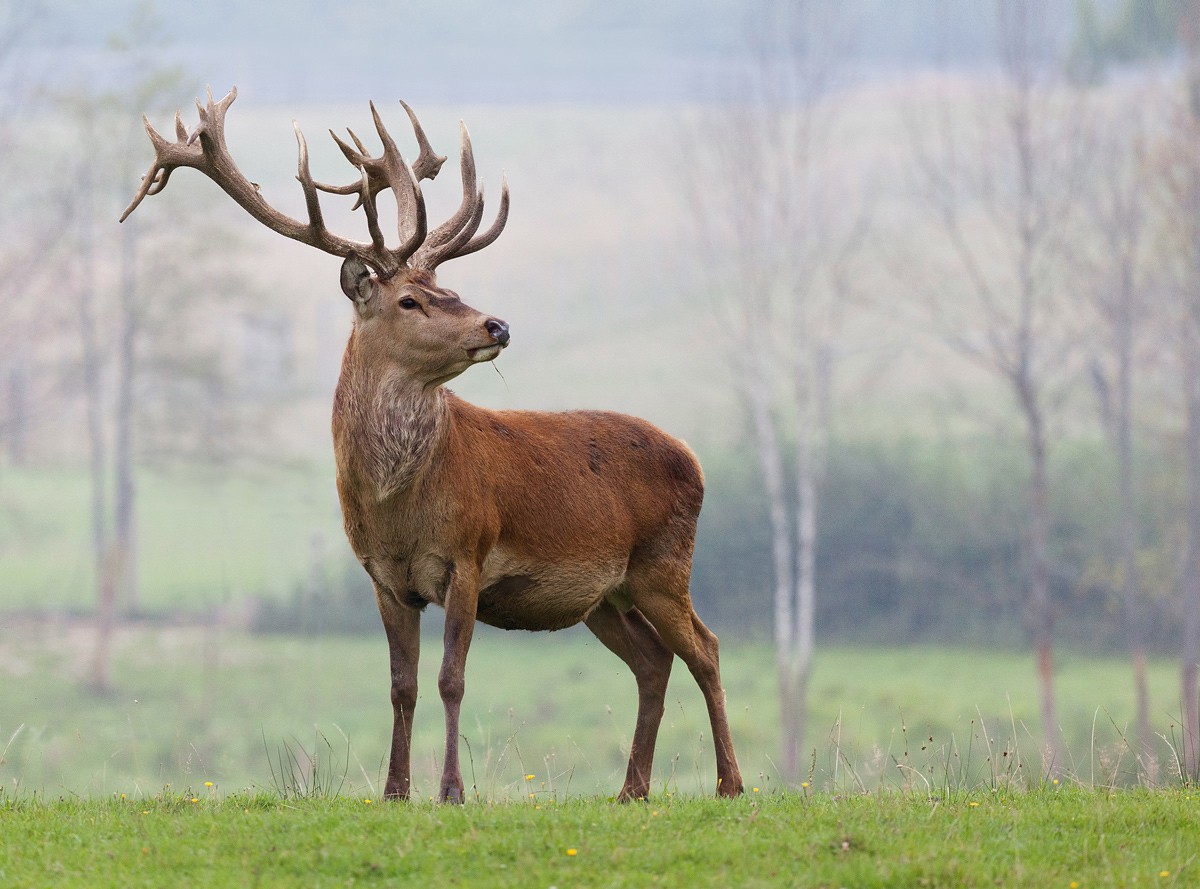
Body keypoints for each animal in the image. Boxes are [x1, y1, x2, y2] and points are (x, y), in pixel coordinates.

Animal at [121, 87, 744, 803]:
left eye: (451, 289)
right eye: (411, 301)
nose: (497, 324)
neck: (398, 506)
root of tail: (694, 458)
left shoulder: (468, 556)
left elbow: (451, 680)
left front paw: (450, 790)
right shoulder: (384, 578)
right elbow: (402, 686)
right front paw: (396, 789)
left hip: (664, 562)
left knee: (706, 648)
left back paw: (729, 782)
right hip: (604, 595)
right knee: (653, 660)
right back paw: (631, 789)